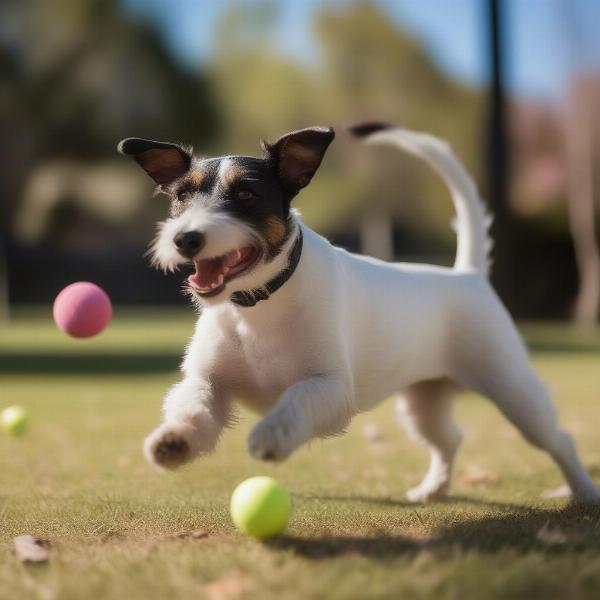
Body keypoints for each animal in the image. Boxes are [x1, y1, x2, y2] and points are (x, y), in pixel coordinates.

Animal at [117, 124, 600, 504]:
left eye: (246, 194)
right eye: (181, 196)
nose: (185, 239)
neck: (259, 305)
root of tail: (466, 274)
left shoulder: (330, 387)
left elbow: (296, 399)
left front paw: (272, 434)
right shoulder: (208, 380)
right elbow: (194, 405)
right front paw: (175, 441)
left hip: (512, 387)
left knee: (558, 439)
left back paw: (583, 492)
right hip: (423, 401)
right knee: (448, 439)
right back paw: (433, 488)